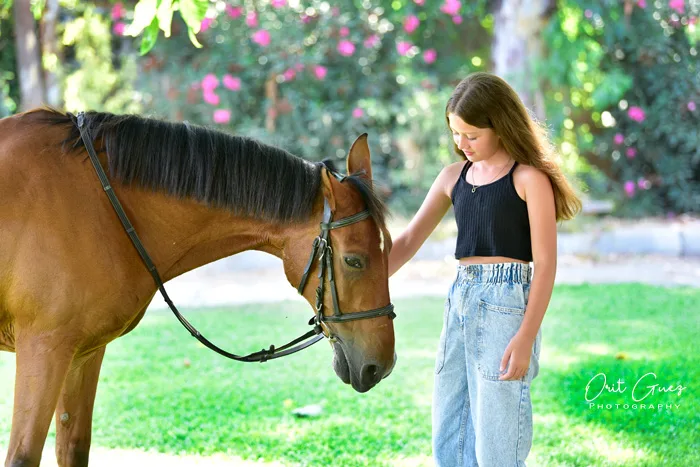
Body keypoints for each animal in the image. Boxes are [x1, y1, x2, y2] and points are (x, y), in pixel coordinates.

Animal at [0, 108, 394, 466]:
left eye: (388, 247)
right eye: (354, 261)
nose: (382, 366)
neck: (98, 205)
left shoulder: (83, 353)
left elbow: (73, 448)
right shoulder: (46, 347)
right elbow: (22, 456)